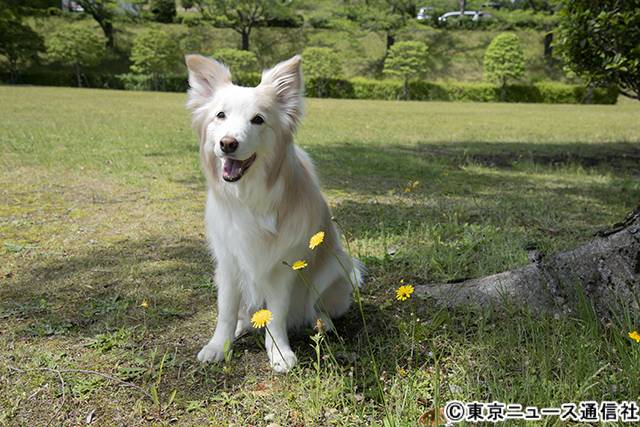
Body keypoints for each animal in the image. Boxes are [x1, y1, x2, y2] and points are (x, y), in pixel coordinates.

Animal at [185, 53, 362, 372]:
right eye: (220, 115)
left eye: (258, 119)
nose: (227, 143)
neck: (249, 197)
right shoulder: (228, 263)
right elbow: (226, 310)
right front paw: (219, 346)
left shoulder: (283, 266)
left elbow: (277, 315)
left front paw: (279, 353)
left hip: (338, 269)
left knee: (315, 307)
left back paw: (322, 322)